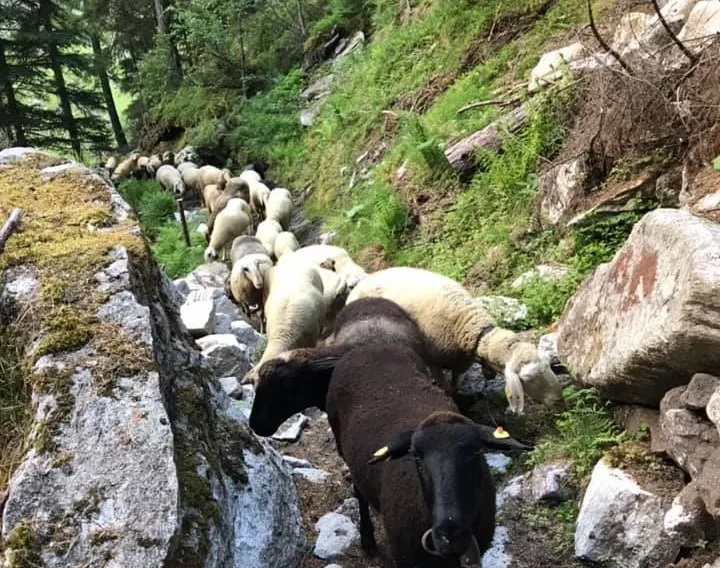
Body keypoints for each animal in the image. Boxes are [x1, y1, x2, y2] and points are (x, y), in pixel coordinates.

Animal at [346, 266, 564, 412]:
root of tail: (362, 282)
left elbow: (456, 383)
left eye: (548, 365)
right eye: (528, 378)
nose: (559, 400)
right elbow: (445, 387)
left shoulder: (461, 363)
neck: (472, 328)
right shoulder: (434, 360)